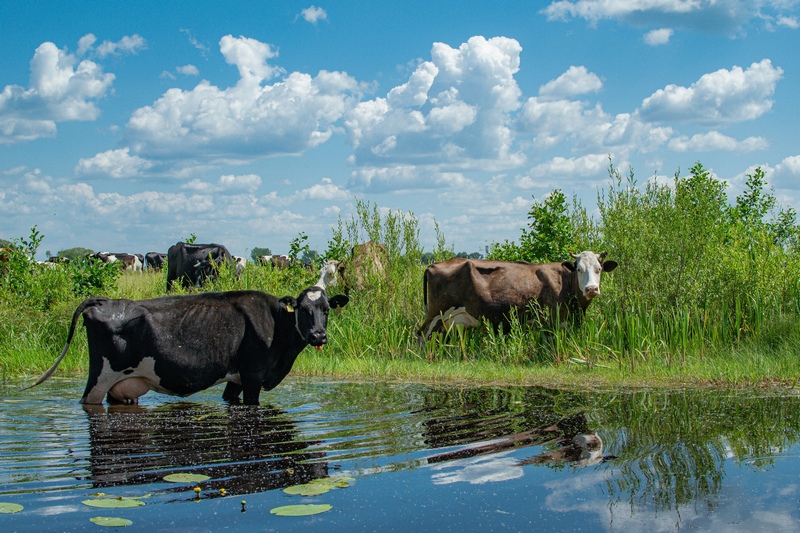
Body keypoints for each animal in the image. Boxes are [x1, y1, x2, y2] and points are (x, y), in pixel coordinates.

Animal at [25, 286, 346, 404]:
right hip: (99, 378)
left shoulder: (236, 379)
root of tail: (105, 301)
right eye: (303, 309)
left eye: (326, 309)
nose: (318, 336)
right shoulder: (253, 376)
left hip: (120, 385)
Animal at [418, 251, 620, 338]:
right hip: (436, 313)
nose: (591, 289)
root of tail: (434, 264)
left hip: (447, 320)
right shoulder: (551, 321)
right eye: (579, 269)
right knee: (421, 333)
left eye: (599, 269)